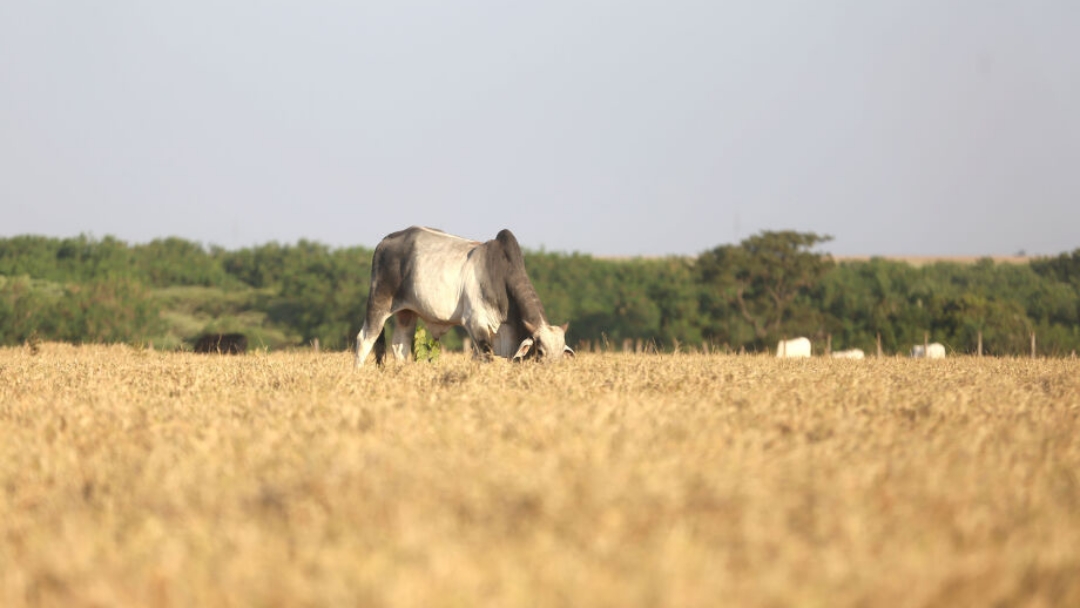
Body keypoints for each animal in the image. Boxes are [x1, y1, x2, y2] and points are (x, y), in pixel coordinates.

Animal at [354, 228, 574, 369]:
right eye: (540, 352)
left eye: (561, 354)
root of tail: (386, 239)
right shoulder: (476, 324)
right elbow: (486, 358)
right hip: (379, 303)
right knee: (365, 339)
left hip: (407, 312)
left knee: (400, 346)